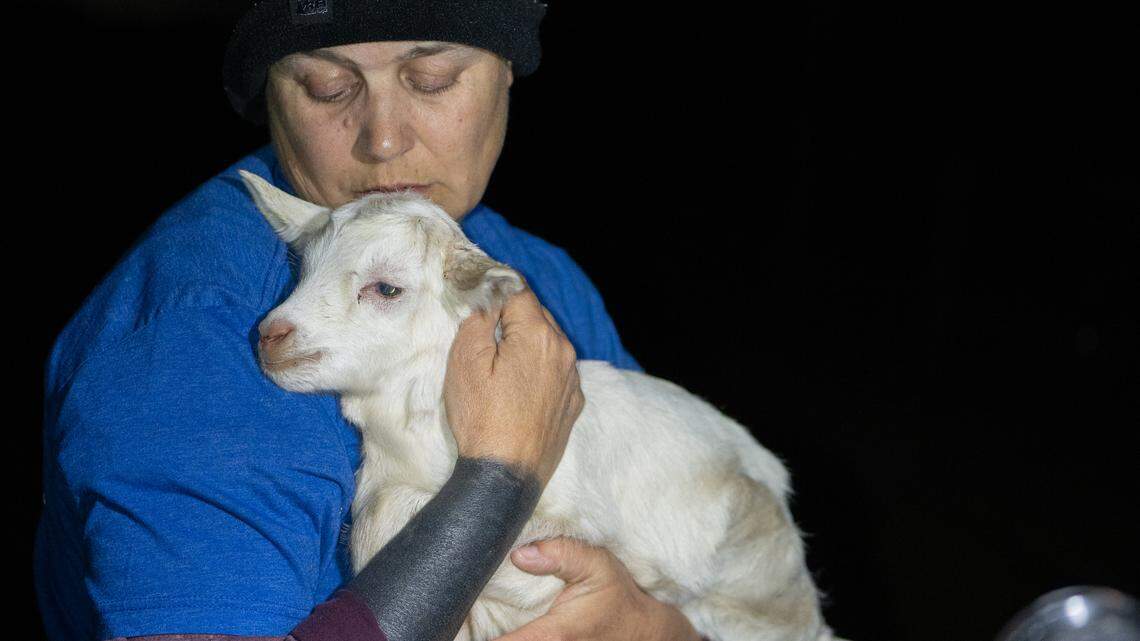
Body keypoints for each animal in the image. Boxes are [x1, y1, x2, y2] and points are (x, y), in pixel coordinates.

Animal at [240, 170, 836, 641]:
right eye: (302, 273)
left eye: (387, 289)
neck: (413, 443)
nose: (271, 335)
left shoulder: (574, 529)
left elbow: (382, 517)